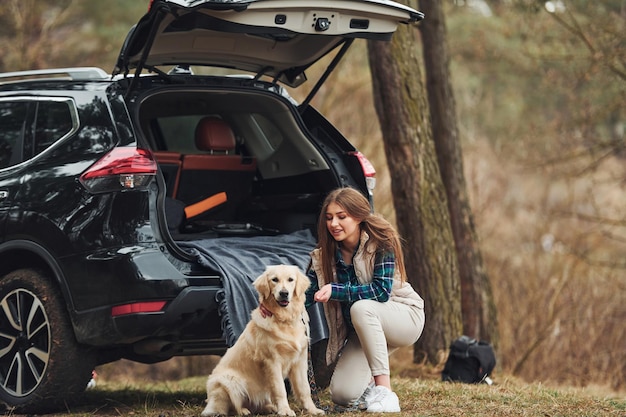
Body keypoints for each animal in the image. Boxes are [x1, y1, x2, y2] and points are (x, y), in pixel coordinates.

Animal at [201, 264, 326, 414]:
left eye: (290, 279)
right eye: (274, 279)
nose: (284, 293)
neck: (284, 320)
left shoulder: (300, 360)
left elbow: (305, 389)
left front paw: (313, 410)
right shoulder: (272, 362)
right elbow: (280, 390)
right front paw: (285, 410)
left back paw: (270, 407)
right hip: (228, 381)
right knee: (230, 406)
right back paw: (243, 411)